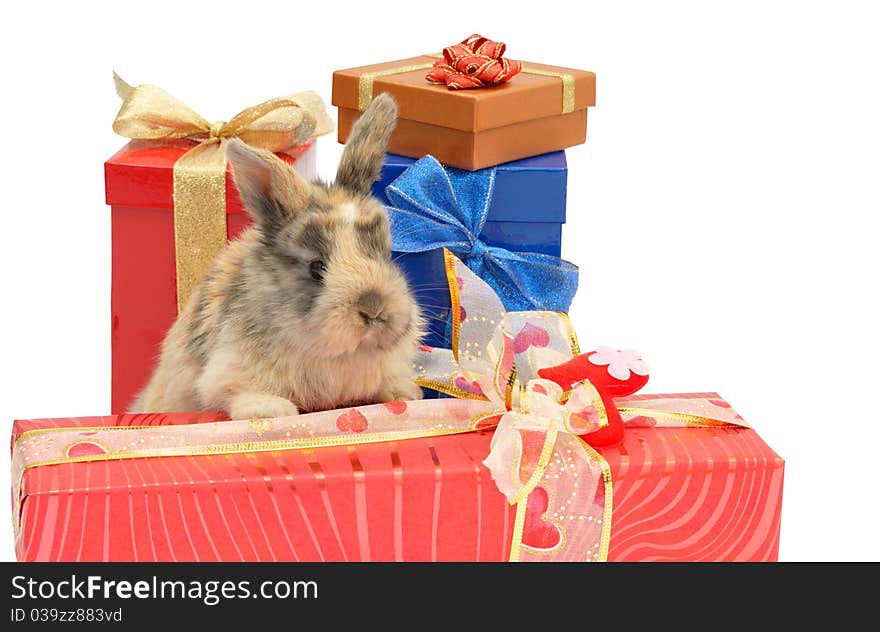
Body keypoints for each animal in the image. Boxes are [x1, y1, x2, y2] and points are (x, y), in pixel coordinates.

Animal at [128, 94, 426, 420]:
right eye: (317, 267)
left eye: (386, 254)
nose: (373, 309)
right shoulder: (228, 371)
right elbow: (237, 391)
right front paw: (272, 411)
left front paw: (406, 394)